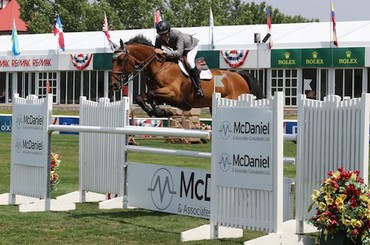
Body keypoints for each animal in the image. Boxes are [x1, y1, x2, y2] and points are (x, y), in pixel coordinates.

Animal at [110, 35, 264, 117]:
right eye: (113, 59)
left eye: (120, 59)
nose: (113, 85)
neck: (159, 67)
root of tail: (240, 76)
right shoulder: (162, 94)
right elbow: (143, 97)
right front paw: (159, 112)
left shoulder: (172, 93)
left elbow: (150, 94)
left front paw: (158, 111)